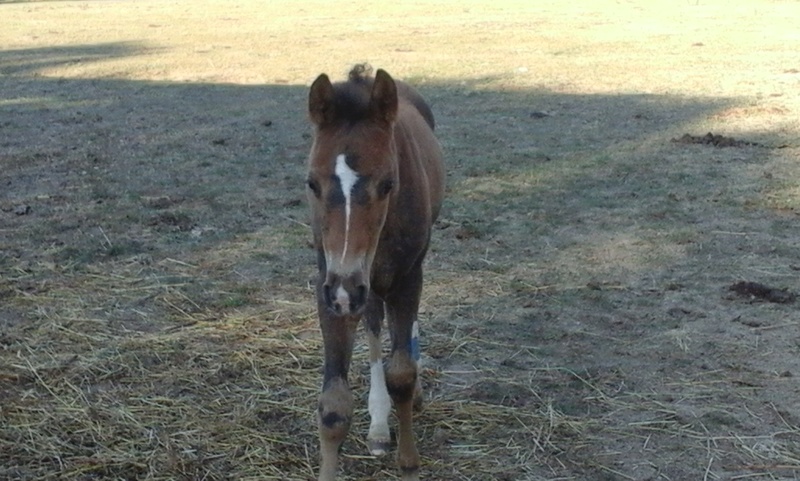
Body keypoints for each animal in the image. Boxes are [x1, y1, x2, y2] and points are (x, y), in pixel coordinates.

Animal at [304, 64, 444, 480]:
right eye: (311, 183)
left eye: (388, 183)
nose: (345, 291)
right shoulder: (330, 284)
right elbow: (333, 406)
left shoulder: (405, 277)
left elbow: (402, 374)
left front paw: (410, 462)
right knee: (373, 323)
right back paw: (380, 427)